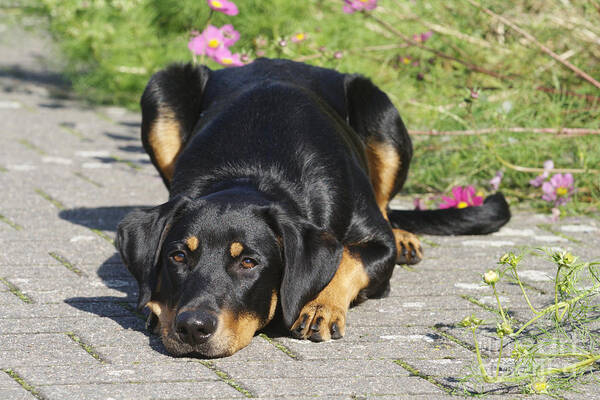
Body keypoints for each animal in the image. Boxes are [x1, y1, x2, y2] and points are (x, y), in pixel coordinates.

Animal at [115, 59, 508, 360]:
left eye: (249, 262)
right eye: (178, 256)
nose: (193, 327)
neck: (254, 173)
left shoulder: (377, 245)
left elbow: (347, 258)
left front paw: (321, 304)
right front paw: (157, 306)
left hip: (380, 113)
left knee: (385, 205)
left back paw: (404, 237)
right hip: (163, 89)